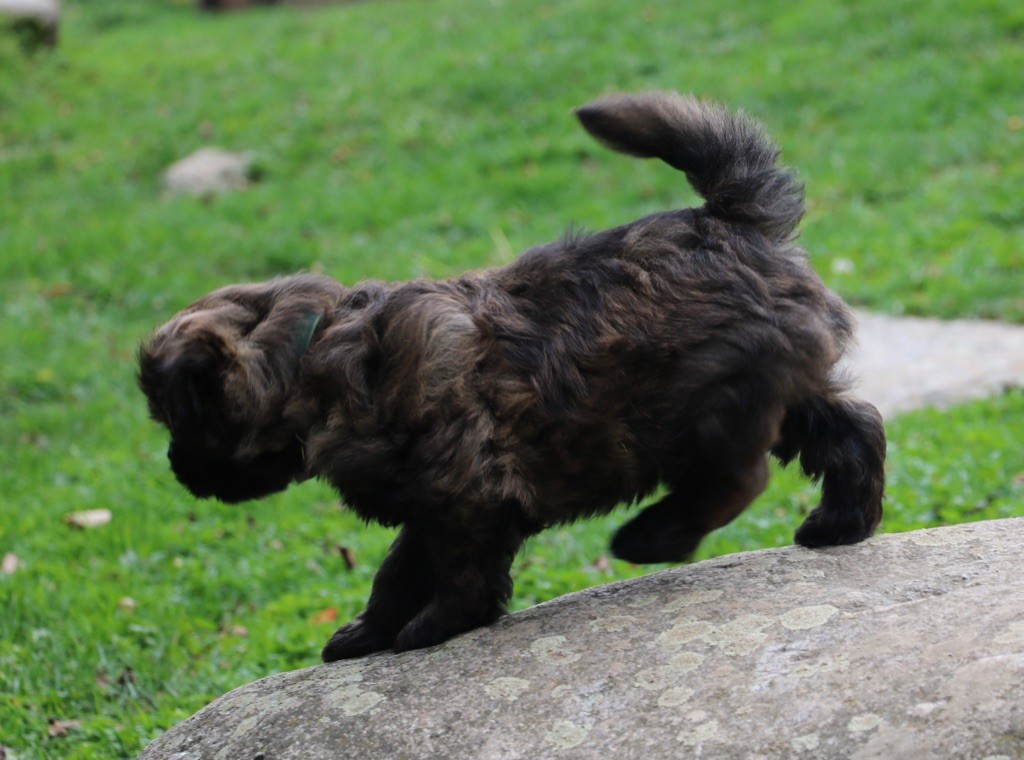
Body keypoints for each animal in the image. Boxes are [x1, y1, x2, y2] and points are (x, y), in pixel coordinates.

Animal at [138, 92, 886, 661]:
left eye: (180, 420)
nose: (175, 467)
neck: (310, 354)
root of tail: (733, 221)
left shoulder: (462, 492)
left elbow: (457, 574)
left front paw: (430, 629)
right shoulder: (429, 502)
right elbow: (397, 572)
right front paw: (365, 633)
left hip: (700, 399)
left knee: (737, 475)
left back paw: (652, 537)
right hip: (783, 385)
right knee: (854, 428)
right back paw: (841, 521)